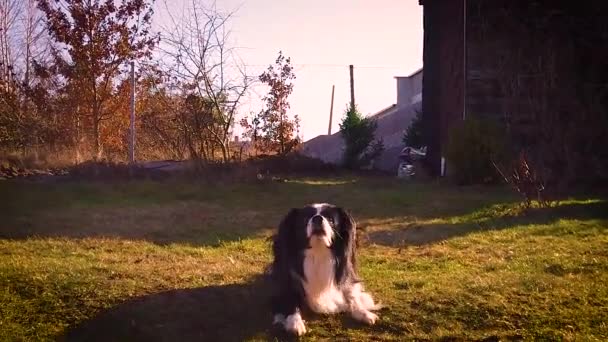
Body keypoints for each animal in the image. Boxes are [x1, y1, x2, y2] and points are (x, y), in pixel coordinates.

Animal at [270, 203, 380, 334]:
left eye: (331, 220)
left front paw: (363, 313)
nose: (317, 218)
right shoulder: (288, 281)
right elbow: (291, 299)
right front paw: (295, 322)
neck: (318, 252)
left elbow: (351, 294)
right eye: (305, 219)